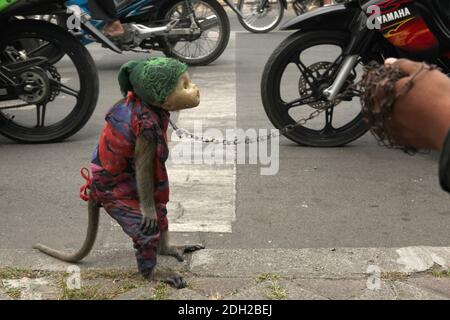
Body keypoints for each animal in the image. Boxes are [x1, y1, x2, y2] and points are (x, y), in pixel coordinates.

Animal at [34, 58, 203, 290]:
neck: (150, 106)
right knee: (143, 228)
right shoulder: (146, 127)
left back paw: (165, 249)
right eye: (184, 85)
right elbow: (143, 167)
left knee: (160, 209)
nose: (195, 89)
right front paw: (148, 212)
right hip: (116, 200)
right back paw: (153, 272)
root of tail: (94, 189)